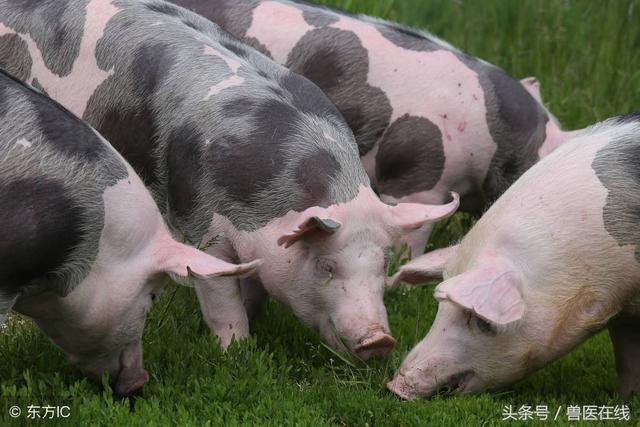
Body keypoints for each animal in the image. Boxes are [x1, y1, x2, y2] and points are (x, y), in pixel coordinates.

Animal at [388, 113, 640, 402]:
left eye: (481, 321)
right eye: (439, 307)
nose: (394, 386)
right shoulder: (623, 314)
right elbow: (628, 362)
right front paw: (625, 399)